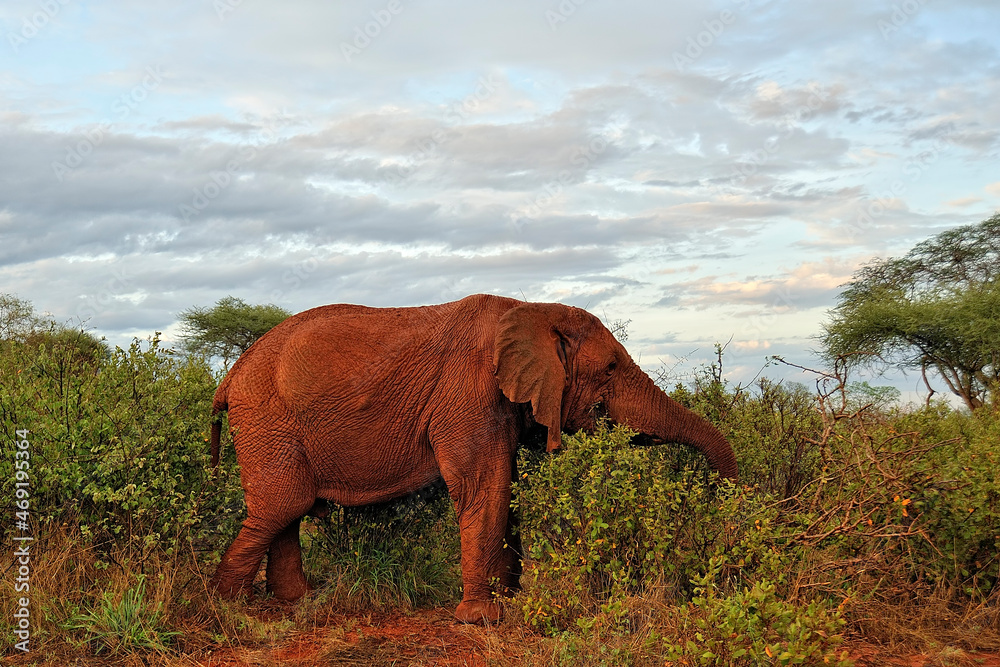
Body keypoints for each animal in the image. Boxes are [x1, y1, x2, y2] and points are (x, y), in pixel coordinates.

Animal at [208, 294, 737, 623]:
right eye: (610, 367)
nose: (718, 499)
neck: (531, 309)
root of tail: (229, 378)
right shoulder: (469, 393)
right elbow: (486, 487)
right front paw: (483, 618)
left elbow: (508, 488)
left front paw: (510, 600)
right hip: (266, 420)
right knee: (283, 505)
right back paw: (227, 606)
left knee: (286, 511)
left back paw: (295, 601)